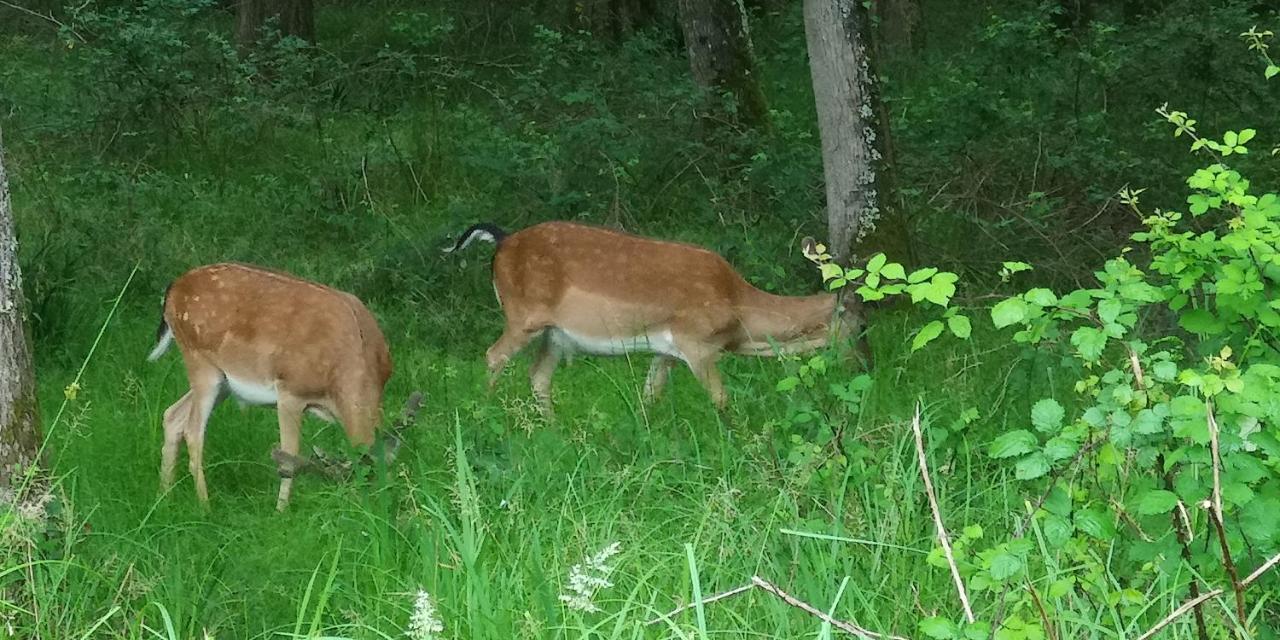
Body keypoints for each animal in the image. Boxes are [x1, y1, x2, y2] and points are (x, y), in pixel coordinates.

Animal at [147, 261, 391, 509]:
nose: (367, 512)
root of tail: (173, 289)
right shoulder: (290, 391)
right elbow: (289, 453)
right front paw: (281, 510)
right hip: (199, 360)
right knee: (193, 430)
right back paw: (205, 506)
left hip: (223, 380)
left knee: (172, 415)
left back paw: (163, 497)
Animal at [442, 222, 870, 414]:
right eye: (860, 323)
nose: (867, 363)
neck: (740, 314)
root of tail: (501, 241)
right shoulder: (697, 342)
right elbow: (722, 400)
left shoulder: (665, 349)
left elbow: (650, 394)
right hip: (523, 314)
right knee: (494, 356)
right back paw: (484, 413)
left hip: (555, 334)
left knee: (538, 376)